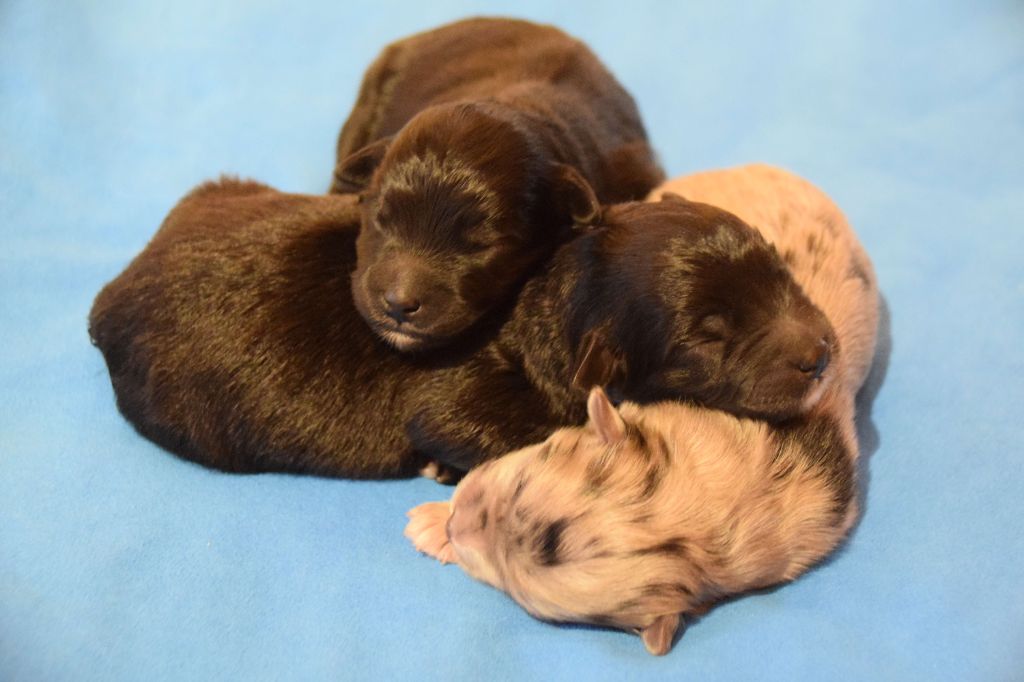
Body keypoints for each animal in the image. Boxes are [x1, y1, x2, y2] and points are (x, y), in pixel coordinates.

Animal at [83, 173, 827, 475]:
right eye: (708, 335)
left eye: (777, 268)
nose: (821, 355)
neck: (551, 293)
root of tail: (110, 298)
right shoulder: (464, 400)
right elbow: (462, 425)